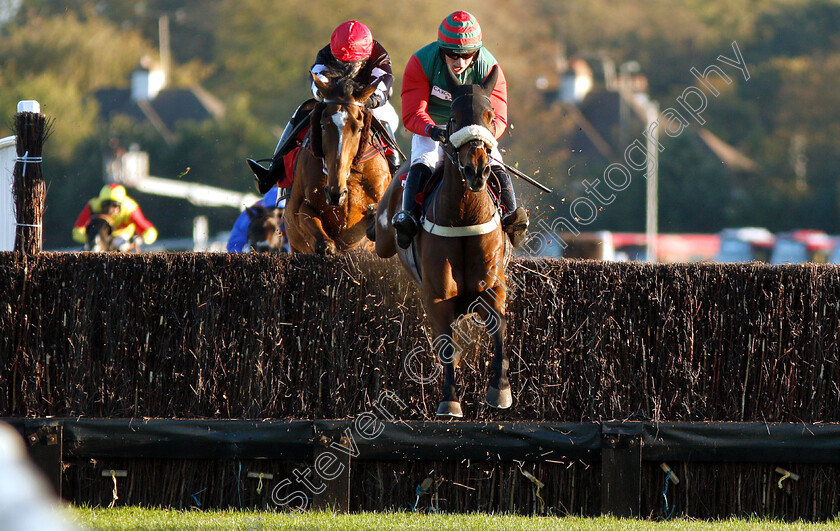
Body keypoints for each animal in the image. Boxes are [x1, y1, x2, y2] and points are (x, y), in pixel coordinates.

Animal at [376, 66, 512, 418]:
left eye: (490, 115)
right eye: (452, 117)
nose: (476, 169)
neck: (463, 216)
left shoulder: (492, 286)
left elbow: (498, 325)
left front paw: (500, 390)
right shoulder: (438, 296)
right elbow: (446, 345)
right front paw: (449, 400)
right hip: (385, 233)